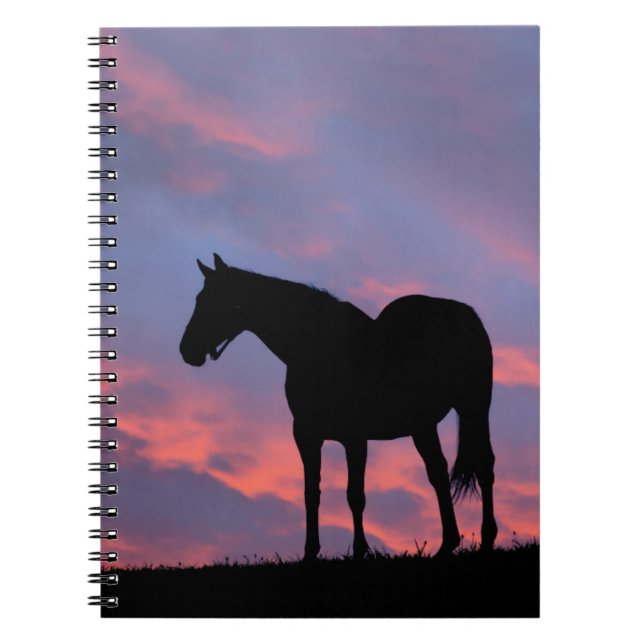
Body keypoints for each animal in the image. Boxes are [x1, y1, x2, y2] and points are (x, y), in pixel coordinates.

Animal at [180, 253, 498, 560]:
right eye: (199, 299)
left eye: (220, 301)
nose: (187, 350)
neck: (322, 350)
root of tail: (465, 313)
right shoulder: (306, 435)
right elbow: (311, 492)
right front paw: (310, 552)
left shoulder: (355, 437)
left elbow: (355, 495)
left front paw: (359, 551)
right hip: (422, 425)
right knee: (438, 473)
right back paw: (447, 544)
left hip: (474, 408)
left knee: (484, 466)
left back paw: (486, 541)